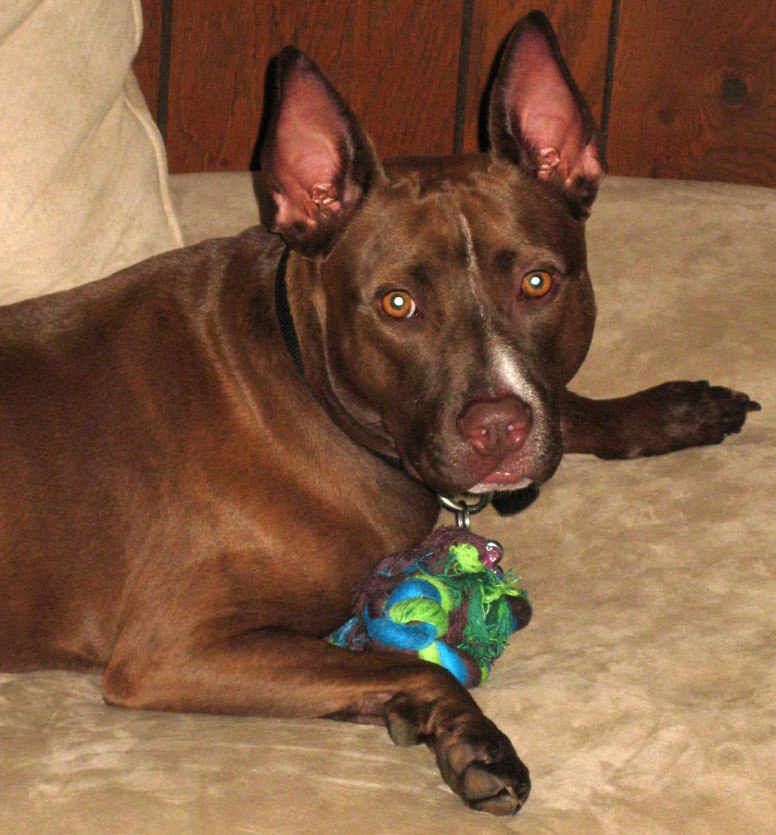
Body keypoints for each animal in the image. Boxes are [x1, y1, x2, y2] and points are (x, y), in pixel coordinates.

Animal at [0, 12, 758, 815]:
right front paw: (470, 738)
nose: (499, 430)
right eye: (398, 304)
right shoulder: (176, 648)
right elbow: (419, 666)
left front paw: (674, 411)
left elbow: (566, 407)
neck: (306, 379)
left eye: (537, 282)